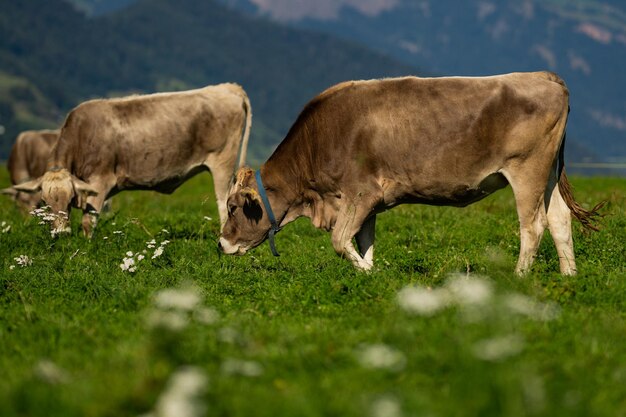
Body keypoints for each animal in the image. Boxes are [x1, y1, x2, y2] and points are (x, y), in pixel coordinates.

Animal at [11, 83, 250, 236]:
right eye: (45, 201)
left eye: (70, 197)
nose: (60, 233)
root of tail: (228, 87)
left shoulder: (100, 181)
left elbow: (89, 222)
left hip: (222, 162)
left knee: (224, 203)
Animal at [218, 72, 600, 272]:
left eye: (234, 207)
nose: (221, 244)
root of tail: (542, 76)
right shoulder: (367, 202)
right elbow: (364, 241)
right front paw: (369, 273)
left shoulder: (360, 193)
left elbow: (339, 241)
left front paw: (365, 271)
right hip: (548, 174)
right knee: (559, 219)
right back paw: (568, 276)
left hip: (527, 169)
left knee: (533, 226)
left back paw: (520, 278)